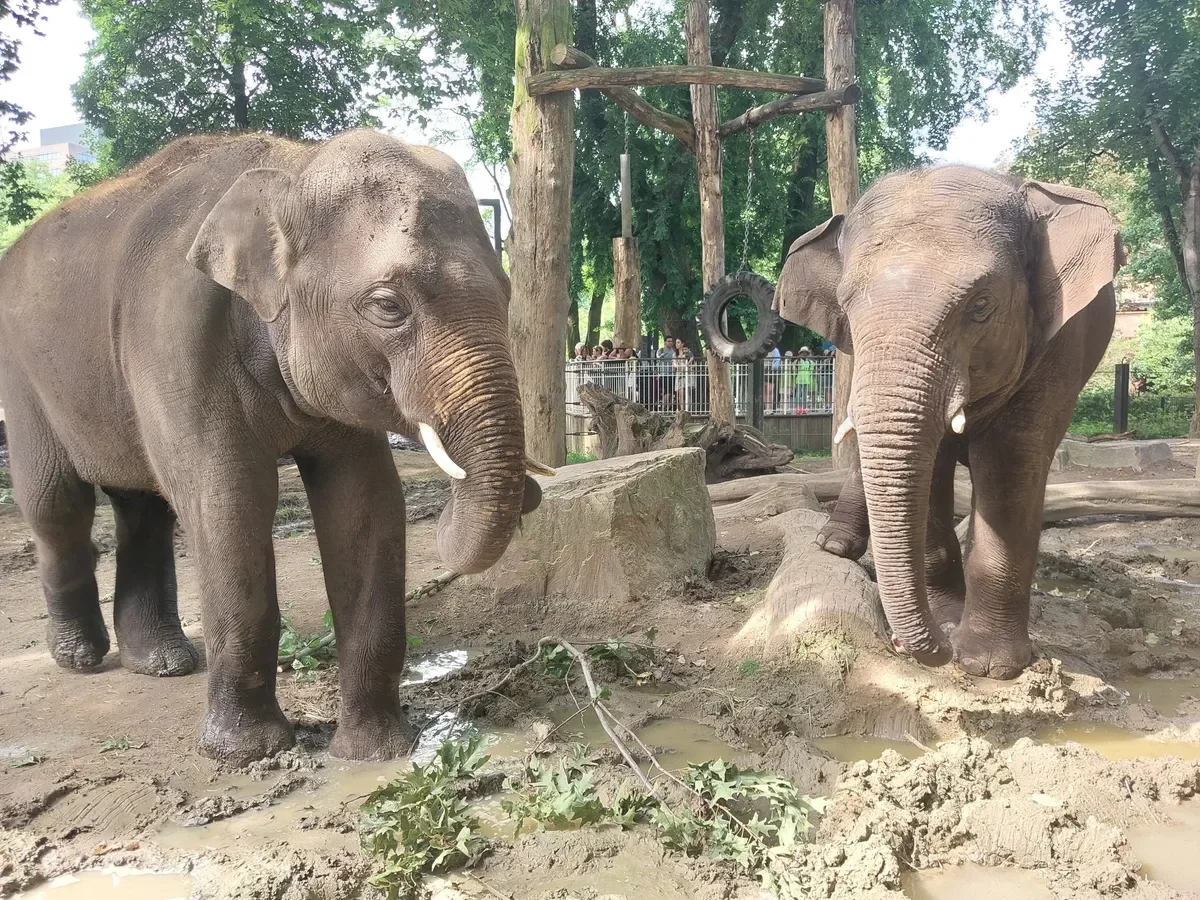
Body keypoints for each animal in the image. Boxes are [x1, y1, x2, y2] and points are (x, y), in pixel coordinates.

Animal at [0, 130, 543, 762]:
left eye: (507, 291)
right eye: (388, 305)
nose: (530, 491)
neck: (291, 165)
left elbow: (366, 504)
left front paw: (375, 752)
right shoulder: (173, 339)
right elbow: (230, 504)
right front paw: (247, 752)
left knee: (143, 507)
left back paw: (163, 663)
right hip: (24, 380)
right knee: (57, 504)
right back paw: (81, 659)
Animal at [775, 165, 1122, 679]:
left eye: (980, 305)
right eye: (846, 307)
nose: (907, 645)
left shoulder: (1061, 343)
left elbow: (1011, 460)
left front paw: (989, 665)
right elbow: (930, 462)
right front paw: (948, 622)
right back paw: (833, 547)